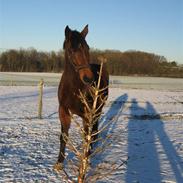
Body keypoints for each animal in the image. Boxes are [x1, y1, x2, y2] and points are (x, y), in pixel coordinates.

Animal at [54, 25, 108, 169]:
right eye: (72, 50)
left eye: (87, 48)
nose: (89, 79)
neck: (73, 88)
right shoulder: (63, 111)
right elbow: (64, 136)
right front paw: (59, 163)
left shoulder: (87, 114)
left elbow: (86, 137)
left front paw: (85, 161)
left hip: (98, 109)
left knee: (94, 131)